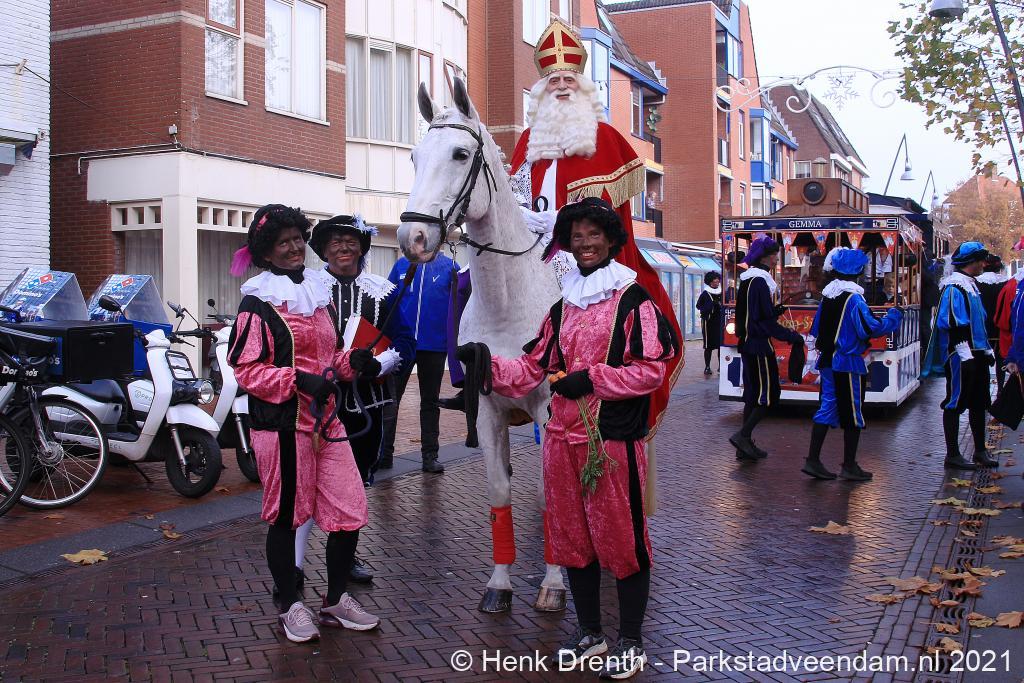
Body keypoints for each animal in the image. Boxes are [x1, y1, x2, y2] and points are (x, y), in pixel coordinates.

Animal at [396, 77, 566, 613]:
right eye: (414, 156)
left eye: (459, 153)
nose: (412, 236)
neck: (508, 303)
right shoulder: (489, 410)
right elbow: (499, 491)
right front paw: (500, 584)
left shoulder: (549, 408)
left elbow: (554, 487)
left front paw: (553, 584)